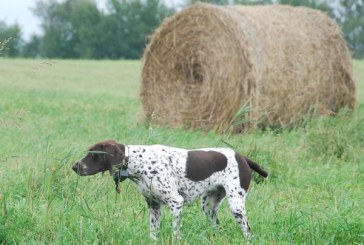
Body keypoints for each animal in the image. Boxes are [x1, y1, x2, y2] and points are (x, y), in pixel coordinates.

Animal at [72, 140, 268, 239]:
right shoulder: (154, 206)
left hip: (236, 204)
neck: (139, 161)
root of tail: (242, 157)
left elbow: (175, 233)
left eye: (93, 155)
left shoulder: (176, 203)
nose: (74, 166)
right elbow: (153, 233)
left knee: (248, 231)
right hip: (208, 206)